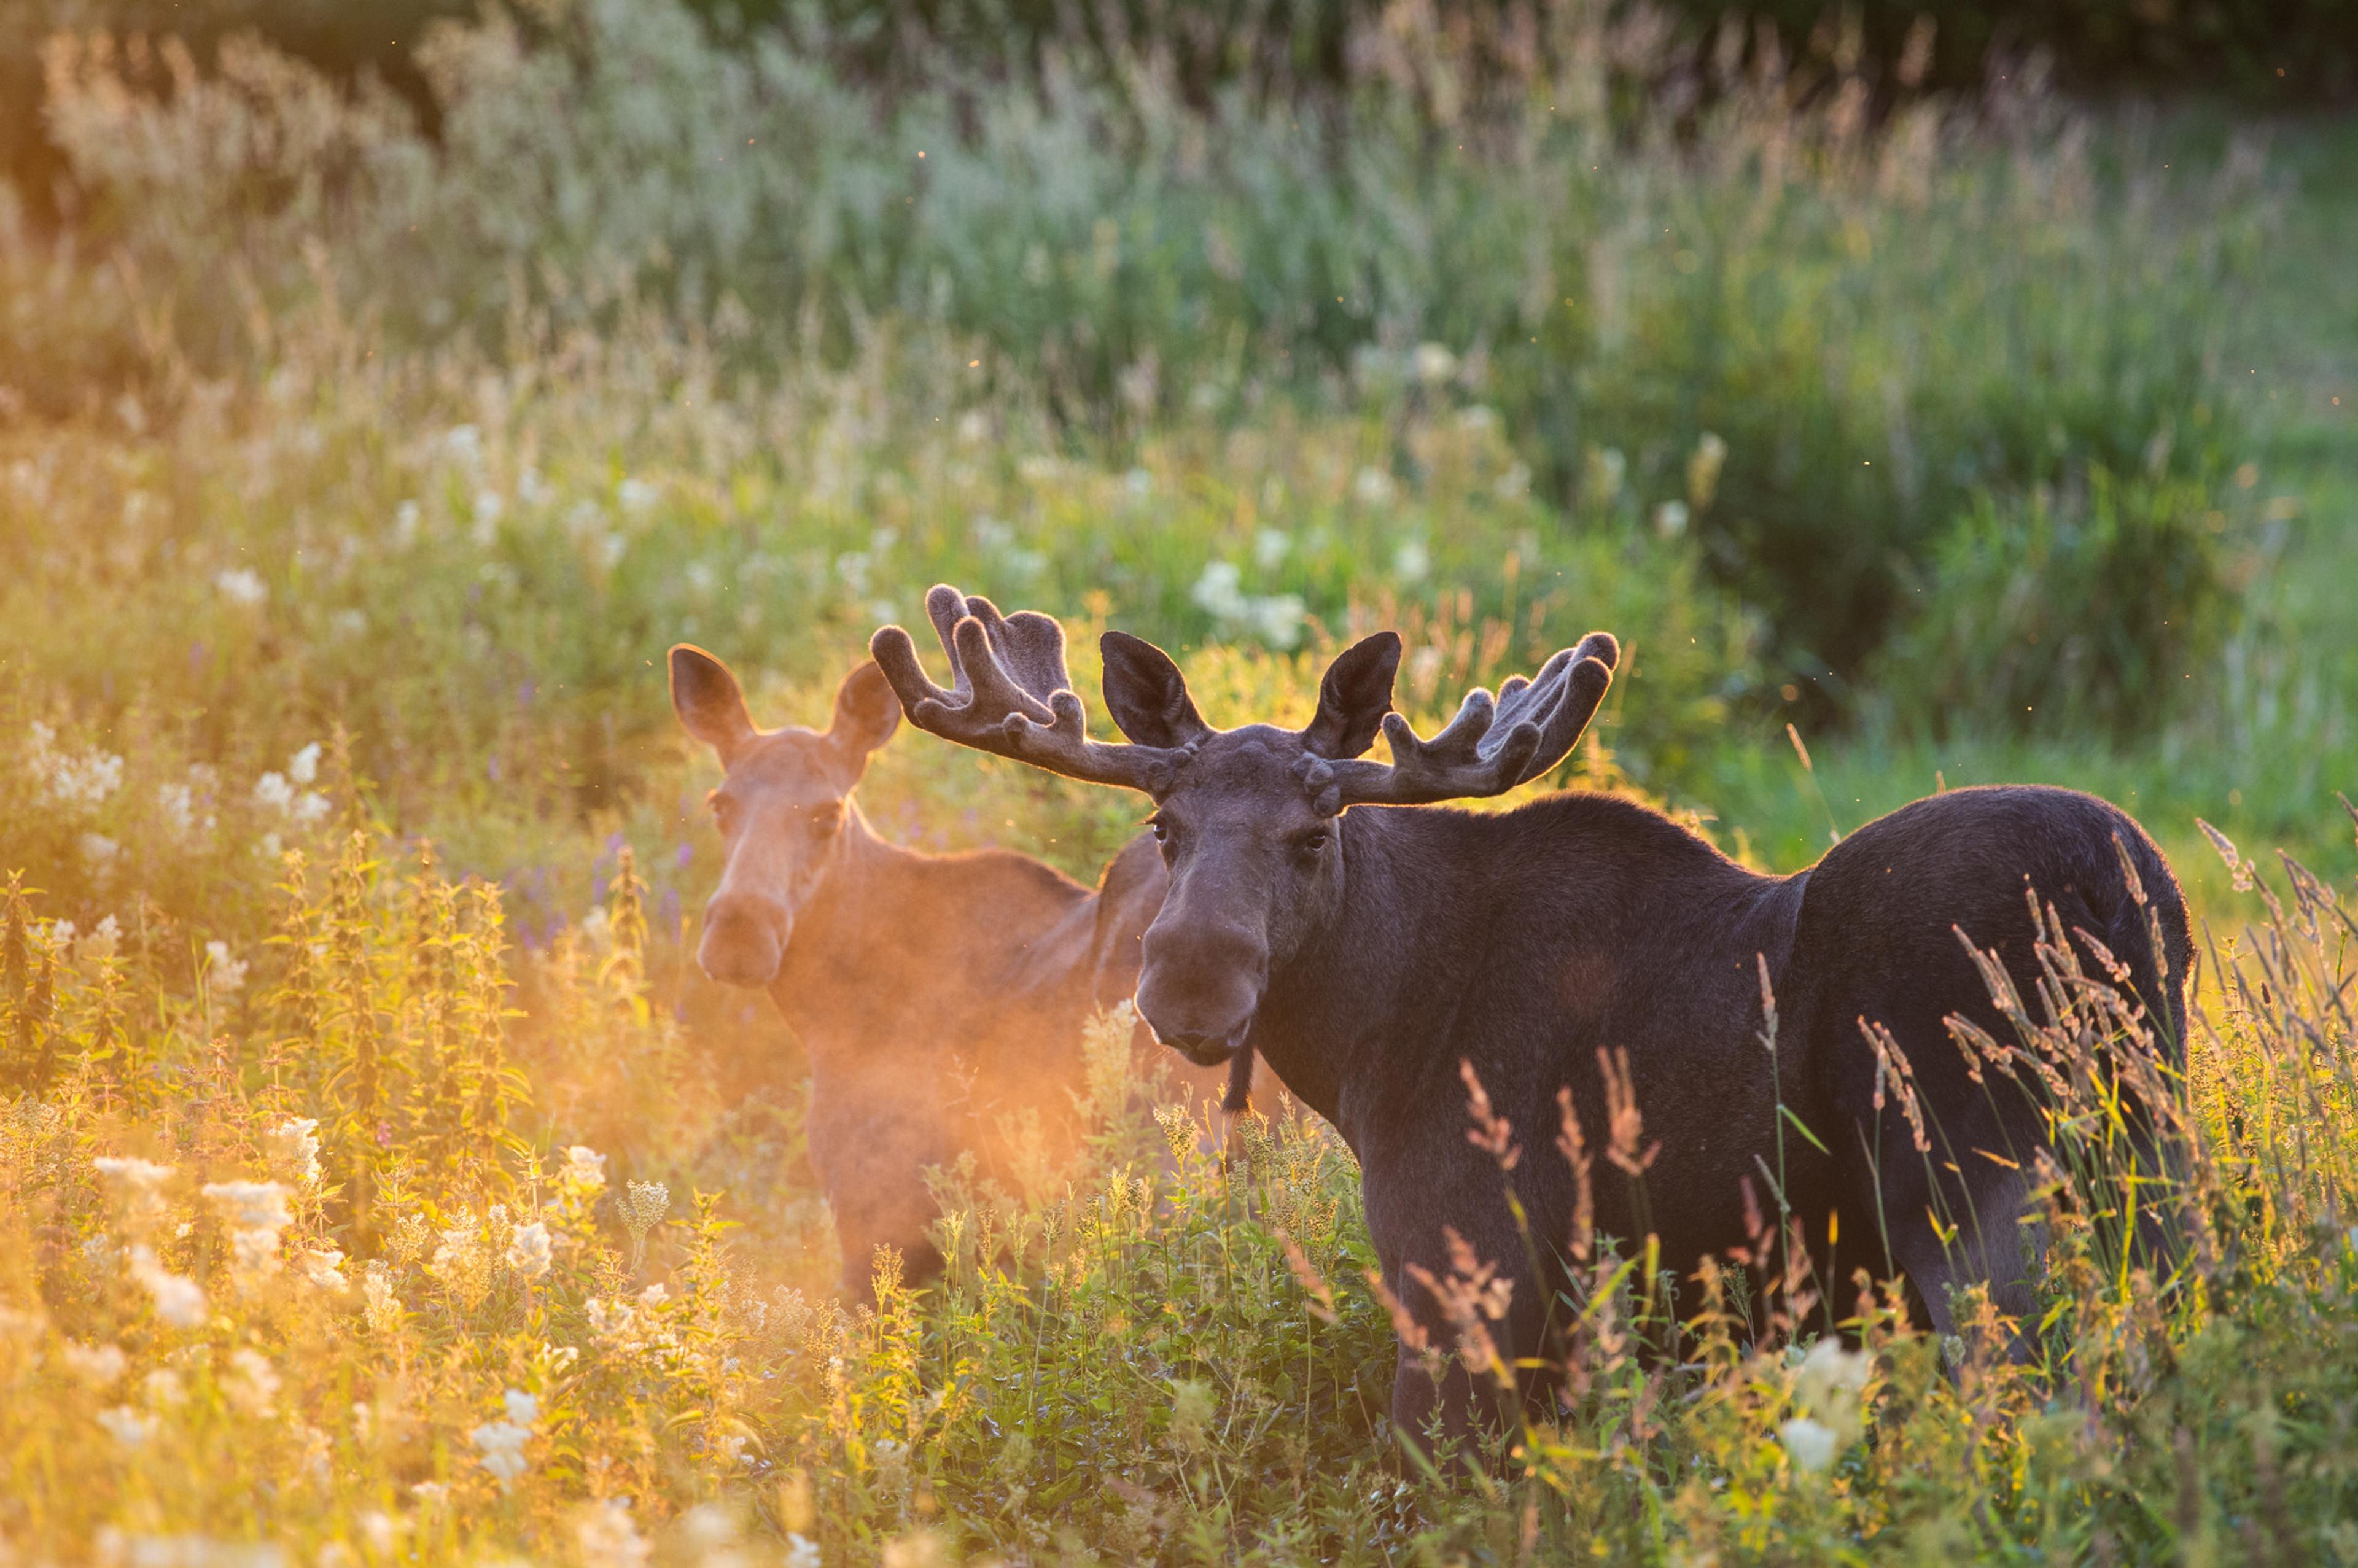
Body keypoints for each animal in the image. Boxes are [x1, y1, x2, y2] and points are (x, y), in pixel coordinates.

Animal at [870, 585, 2191, 1453]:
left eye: (1313, 831)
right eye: (1164, 825)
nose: (1193, 987)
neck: (1369, 1041)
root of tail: (2121, 883)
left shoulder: (1467, 1268)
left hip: (1986, 1208)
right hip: (2154, 1180)